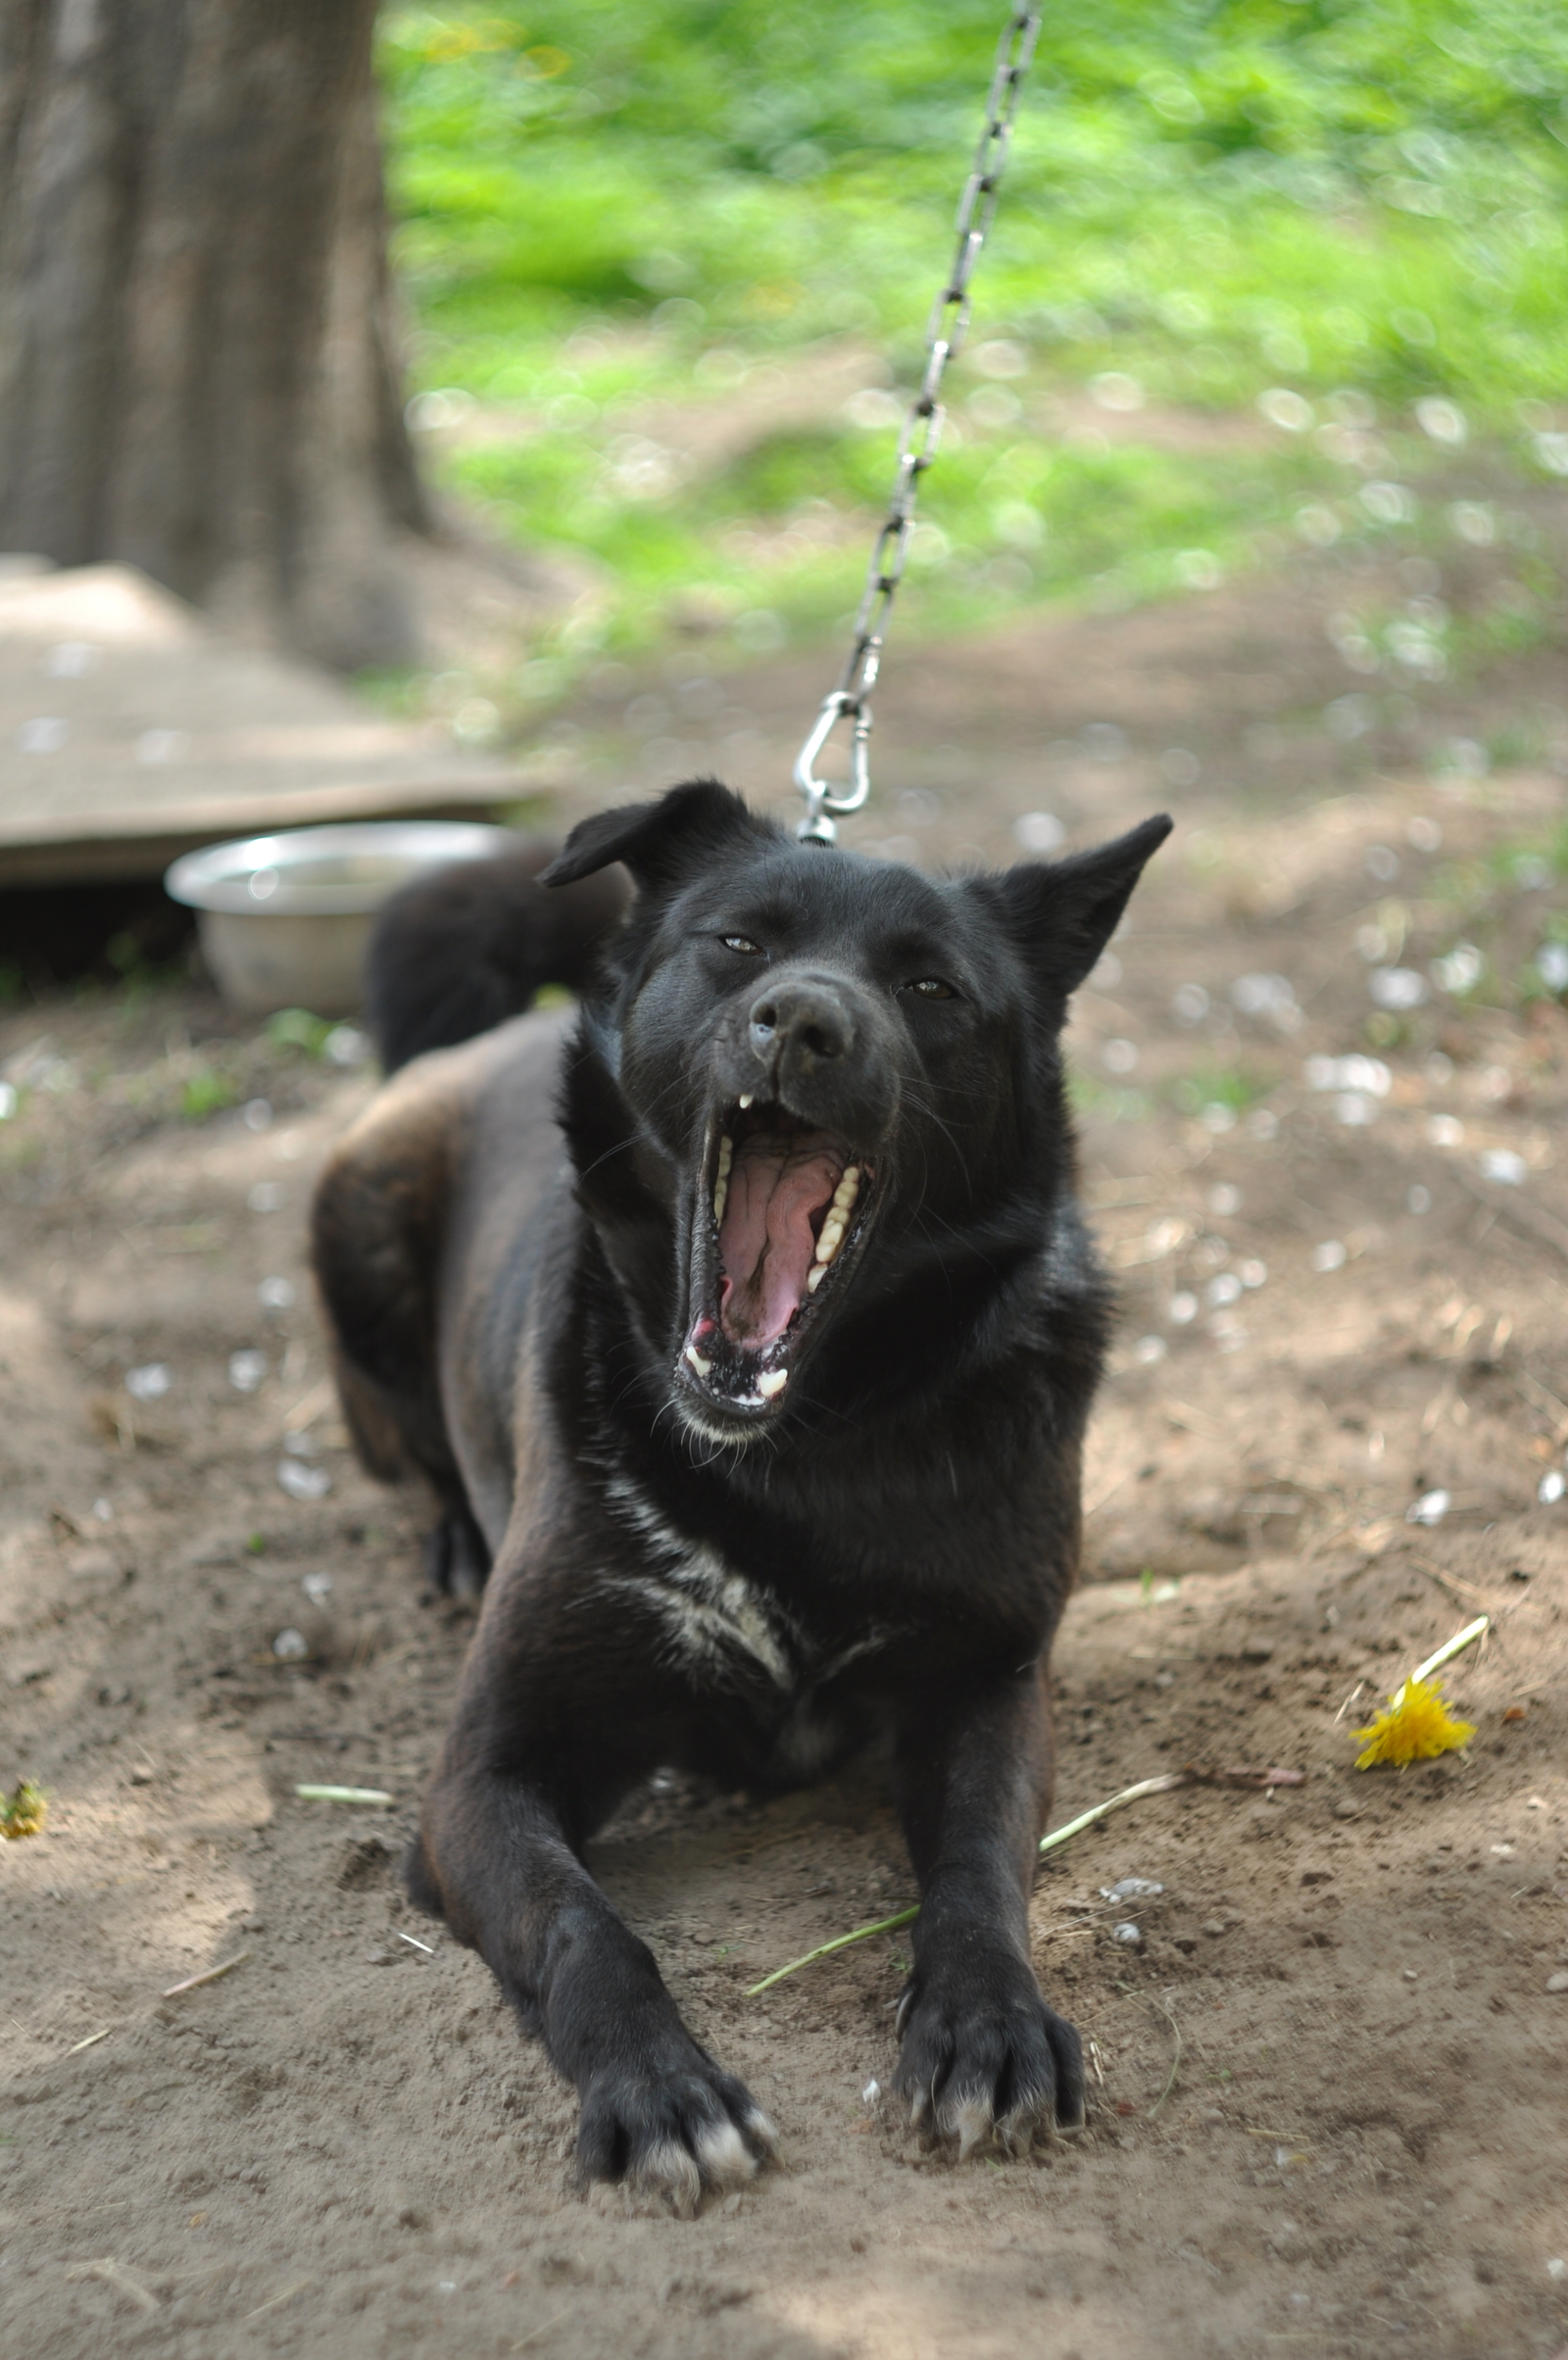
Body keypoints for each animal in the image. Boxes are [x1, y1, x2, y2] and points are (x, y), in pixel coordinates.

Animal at [309, 778, 1161, 2208]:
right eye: (739, 945)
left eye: (930, 984)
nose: (803, 1022)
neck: (805, 1445)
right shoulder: (481, 1776)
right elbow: (584, 1925)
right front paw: (659, 2087)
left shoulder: (991, 1683)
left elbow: (979, 1873)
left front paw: (986, 2022)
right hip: (351, 1225)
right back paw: (451, 1539)